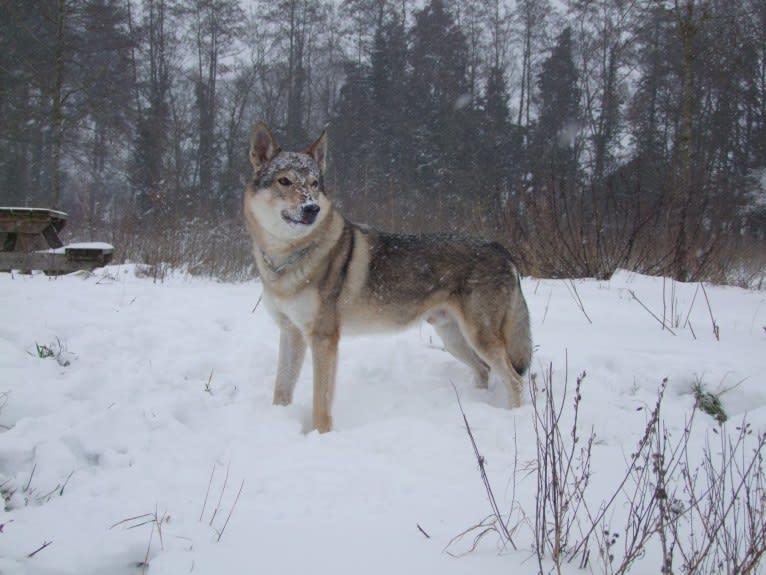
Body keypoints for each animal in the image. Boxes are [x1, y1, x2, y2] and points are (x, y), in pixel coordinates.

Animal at [246, 125, 536, 432]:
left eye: (314, 184)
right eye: (285, 181)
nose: (312, 208)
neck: (285, 258)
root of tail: (500, 247)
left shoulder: (323, 339)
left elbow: (320, 405)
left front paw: (321, 435)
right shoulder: (290, 332)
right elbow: (281, 389)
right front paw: (278, 420)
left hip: (479, 337)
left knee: (514, 380)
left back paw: (514, 418)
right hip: (453, 338)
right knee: (483, 370)